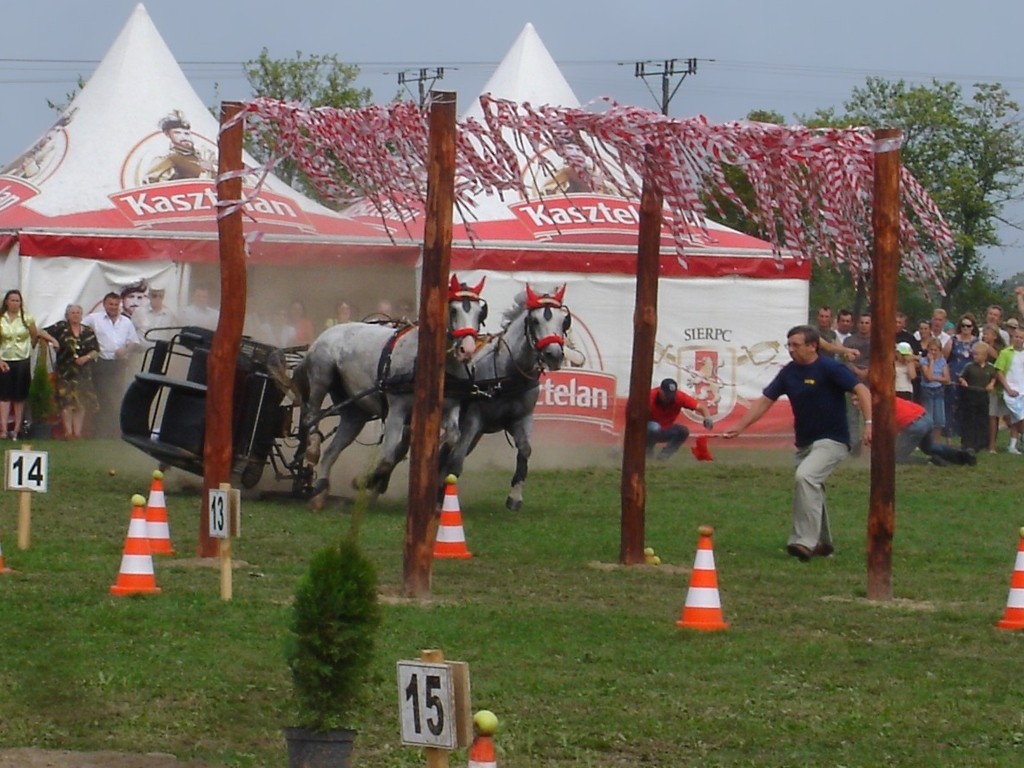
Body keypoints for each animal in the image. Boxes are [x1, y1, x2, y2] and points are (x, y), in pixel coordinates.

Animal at [438, 282, 573, 512]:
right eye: (535, 320)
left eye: (563, 320)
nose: (554, 355)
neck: (507, 373)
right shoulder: (473, 420)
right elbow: (456, 461)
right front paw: (442, 502)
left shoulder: (522, 418)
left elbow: (525, 451)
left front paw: (515, 497)